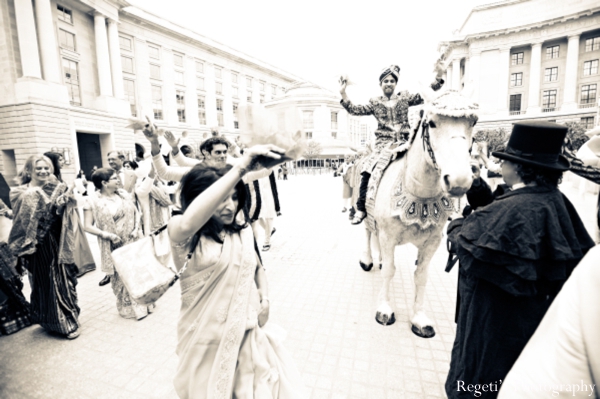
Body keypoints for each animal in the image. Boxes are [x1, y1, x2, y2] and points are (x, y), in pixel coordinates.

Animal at [360, 87, 478, 338]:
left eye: (472, 122)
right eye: (431, 123)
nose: (459, 181)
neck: (418, 193)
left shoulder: (432, 241)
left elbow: (421, 276)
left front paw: (419, 319)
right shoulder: (389, 235)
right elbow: (390, 272)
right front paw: (384, 309)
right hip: (366, 213)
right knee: (367, 231)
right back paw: (367, 259)